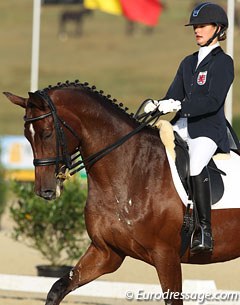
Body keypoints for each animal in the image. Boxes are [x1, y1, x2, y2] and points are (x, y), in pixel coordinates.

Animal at [3, 81, 240, 304]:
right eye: (26, 136)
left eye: (47, 133)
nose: (45, 190)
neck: (130, 173)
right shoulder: (106, 252)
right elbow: (58, 288)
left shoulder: (166, 255)